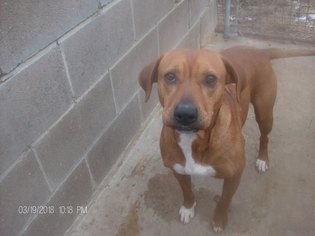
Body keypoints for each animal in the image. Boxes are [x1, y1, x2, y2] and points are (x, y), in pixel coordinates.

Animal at [138, 46, 315, 232]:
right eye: (170, 76)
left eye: (210, 79)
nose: (185, 113)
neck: (195, 140)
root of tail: (259, 51)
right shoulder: (178, 170)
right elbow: (187, 191)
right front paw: (188, 207)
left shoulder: (233, 176)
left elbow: (224, 201)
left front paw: (219, 220)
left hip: (265, 114)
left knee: (264, 137)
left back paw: (262, 159)